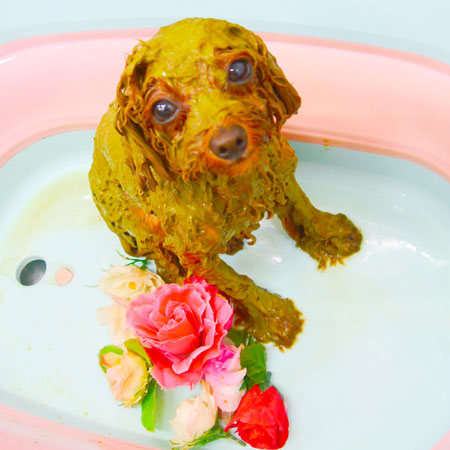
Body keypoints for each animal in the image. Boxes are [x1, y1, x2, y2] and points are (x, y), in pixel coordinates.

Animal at [89, 18, 362, 349]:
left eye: (238, 69)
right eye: (162, 109)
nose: (229, 142)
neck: (231, 182)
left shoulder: (278, 172)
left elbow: (301, 206)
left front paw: (330, 235)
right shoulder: (197, 254)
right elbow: (239, 283)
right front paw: (274, 317)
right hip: (139, 224)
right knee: (162, 259)